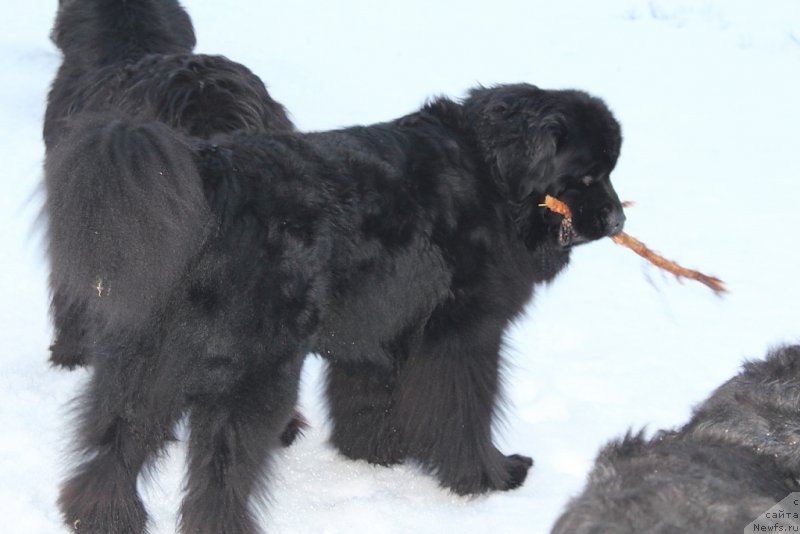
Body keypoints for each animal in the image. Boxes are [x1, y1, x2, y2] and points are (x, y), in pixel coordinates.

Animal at [45, 1, 624, 534]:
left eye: (609, 170)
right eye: (588, 175)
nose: (619, 220)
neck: (493, 176)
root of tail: (212, 171)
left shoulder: (381, 324)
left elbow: (368, 393)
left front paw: (376, 454)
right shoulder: (463, 333)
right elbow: (466, 414)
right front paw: (489, 476)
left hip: (143, 354)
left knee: (118, 439)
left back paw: (102, 517)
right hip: (252, 368)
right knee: (219, 468)